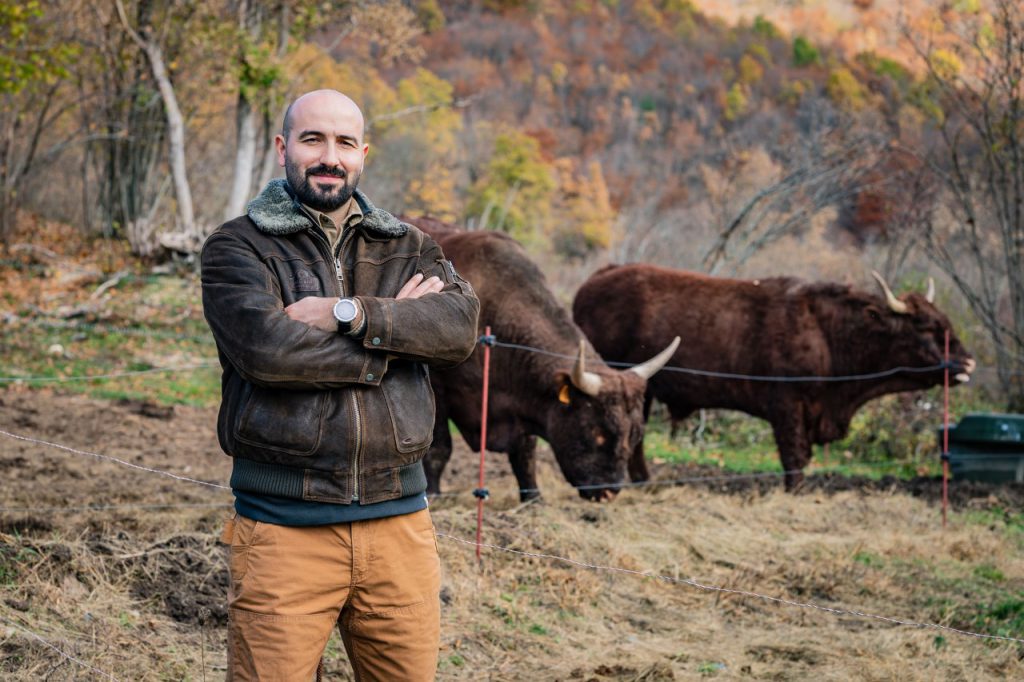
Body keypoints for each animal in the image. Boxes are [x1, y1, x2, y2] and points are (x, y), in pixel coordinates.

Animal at [401, 218, 679, 499]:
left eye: (634, 435)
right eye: (597, 432)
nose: (609, 491)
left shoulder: (522, 401)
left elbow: (525, 454)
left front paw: (532, 497)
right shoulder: (439, 391)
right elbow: (439, 449)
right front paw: (434, 492)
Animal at [573, 262, 970, 491]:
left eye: (946, 321)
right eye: (927, 327)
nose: (967, 364)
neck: (827, 331)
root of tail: (601, 276)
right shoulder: (788, 407)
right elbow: (794, 458)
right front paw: (794, 492)